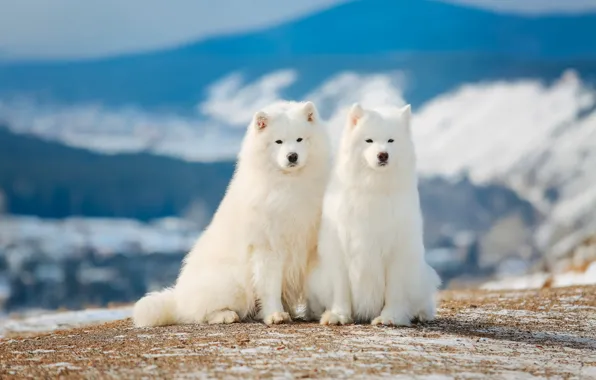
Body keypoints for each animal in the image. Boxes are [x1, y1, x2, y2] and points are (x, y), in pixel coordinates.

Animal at [134, 101, 330, 326]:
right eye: (278, 141)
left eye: (300, 139)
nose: (292, 156)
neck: (290, 184)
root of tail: (178, 298)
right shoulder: (267, 247)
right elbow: (269, 287)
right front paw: (275, 315)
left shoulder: (310, 244)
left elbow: (313, 284)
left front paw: (316, 312)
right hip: (233, 283)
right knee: (197, 313)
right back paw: (226, 315)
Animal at [308, 104, 438, 326]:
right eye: (368, 140)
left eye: (391, 140)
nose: (383, 155)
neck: (373, 187)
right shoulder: (339, 249)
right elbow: (341, 289)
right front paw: (338, 315)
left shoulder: (397, 251)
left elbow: (394, 290)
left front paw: (390, 317)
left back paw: (421, 313)